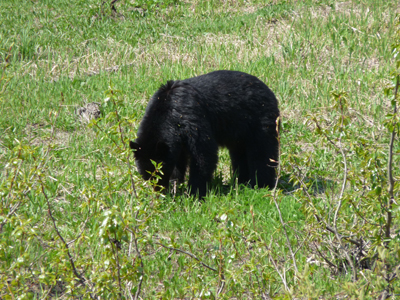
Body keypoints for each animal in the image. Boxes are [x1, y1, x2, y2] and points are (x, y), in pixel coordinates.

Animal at [130, 69, 280, 198]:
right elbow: (179, 159)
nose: (159, 192)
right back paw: (241, 181)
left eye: (159, 175)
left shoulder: (191, 116)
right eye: (147, 177)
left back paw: (260, 184)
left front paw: (194, 193)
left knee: (262, 152)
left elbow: (203, 153)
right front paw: (176, 185)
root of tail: (269, 90)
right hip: (239, 131)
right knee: (239, 154)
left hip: (260, 120)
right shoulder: (176, 137)